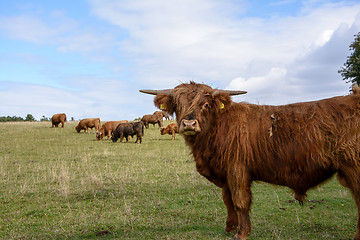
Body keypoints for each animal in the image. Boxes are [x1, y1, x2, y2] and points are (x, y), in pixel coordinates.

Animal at [141, 81, 360, 240]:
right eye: (178, 105)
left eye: (205, 104)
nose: (188, 124)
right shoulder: (225, 174)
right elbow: (228, 201)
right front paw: (230, 227)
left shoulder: (237, 170)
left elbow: (240, 201)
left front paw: (242, 233)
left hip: (353, 168)